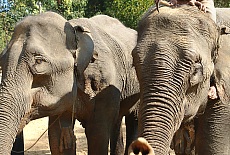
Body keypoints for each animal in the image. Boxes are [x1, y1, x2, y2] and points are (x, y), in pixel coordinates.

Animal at [0, 11, 140, 154]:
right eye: (1, 62)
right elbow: (57, 137)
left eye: (38, 61)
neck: (73, 31)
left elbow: (98, 135)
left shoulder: (104, 87)